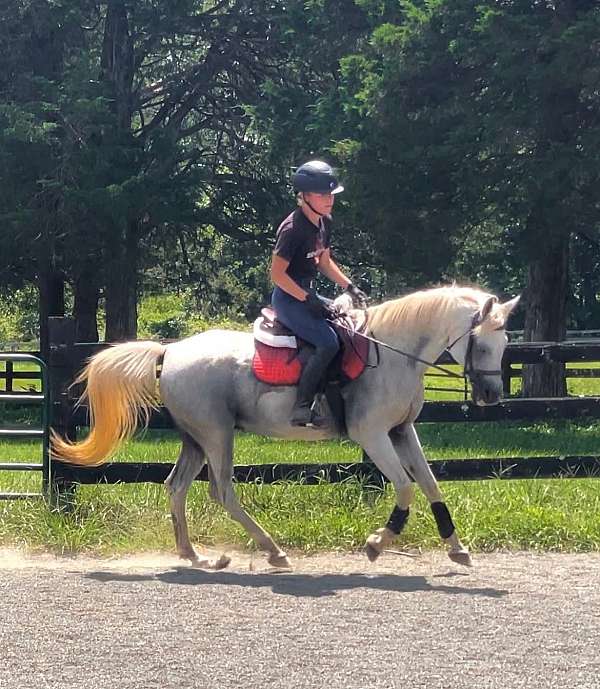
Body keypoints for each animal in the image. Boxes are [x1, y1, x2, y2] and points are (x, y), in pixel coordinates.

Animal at [52, 285, 519, 570]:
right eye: (481, 344)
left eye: (505, 343)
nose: (493, 395)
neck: (390, 353)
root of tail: (171, 351)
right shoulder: (372, 435)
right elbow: (405, 487)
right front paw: (376, 543)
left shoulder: (403, 432)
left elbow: (430, 483)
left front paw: (457, 548)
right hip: (217, 436)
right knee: (221, 491)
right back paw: (272, 550)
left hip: (196, 440)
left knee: (176, 487)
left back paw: (197, 556)